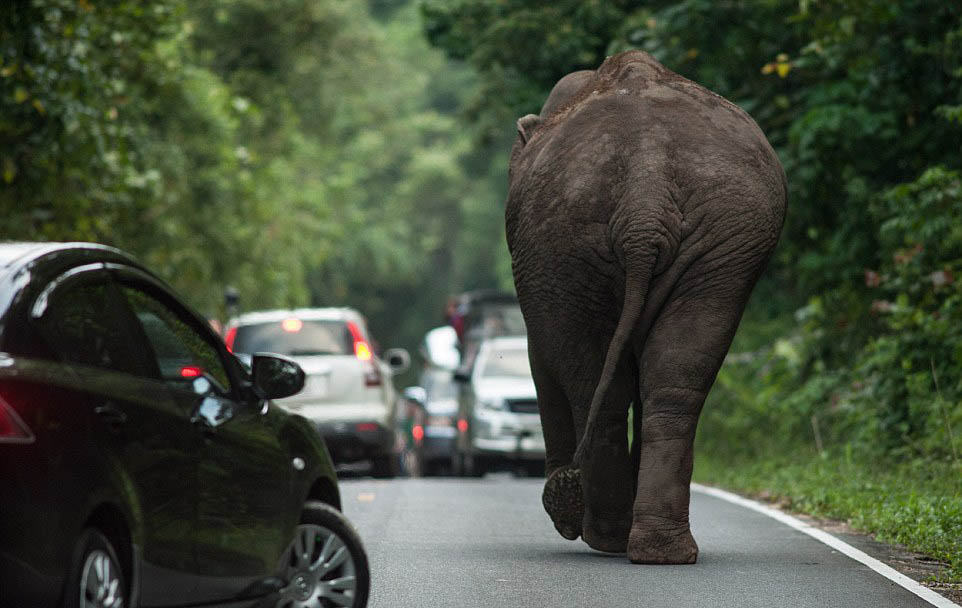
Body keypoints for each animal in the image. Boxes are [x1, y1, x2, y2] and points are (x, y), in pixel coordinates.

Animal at [506, 52, 784, 564]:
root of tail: (645, 197)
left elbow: (542, 359)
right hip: (720, 247)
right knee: (675, 383)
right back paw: (659, 551)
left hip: (565, 244)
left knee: (600, 385)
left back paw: (610, 537)